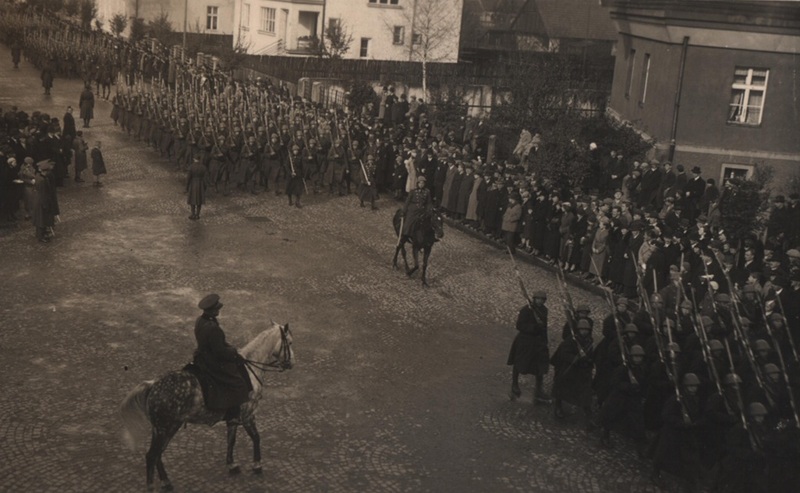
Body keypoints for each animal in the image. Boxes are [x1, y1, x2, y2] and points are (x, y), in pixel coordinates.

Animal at [119, 320, 294, 490]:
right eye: (290, 342)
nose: (292, 364)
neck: (248, 372)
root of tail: (153, 385)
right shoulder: (248, 415)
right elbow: (256, 437)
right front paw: (257, 465)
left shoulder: (233, 419)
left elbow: (231, 440)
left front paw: (232, 465)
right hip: (166, 428)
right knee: (152, 455)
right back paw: (153, 485)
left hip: (164, 429)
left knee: (158, 454)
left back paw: (166, 482)